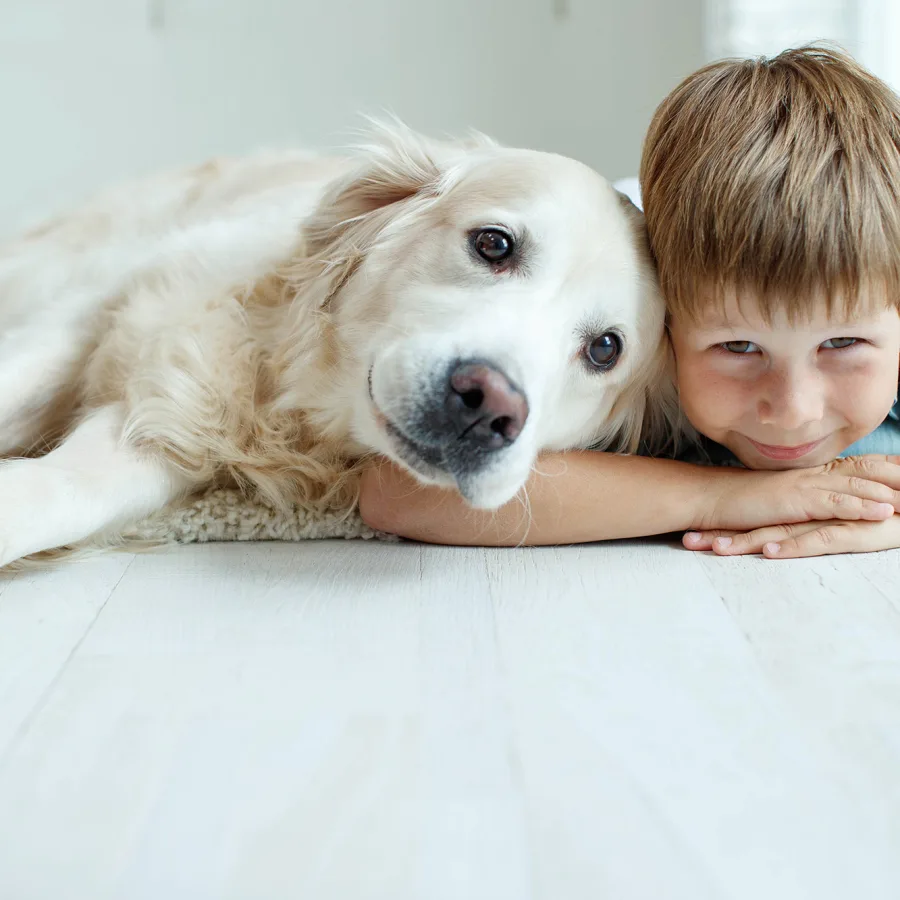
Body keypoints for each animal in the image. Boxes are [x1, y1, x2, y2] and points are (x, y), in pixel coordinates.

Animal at [0, 123, 676, 568]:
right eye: (493, 244)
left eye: (605, 349)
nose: (488, 406)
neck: (289, 392)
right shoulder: (98, 317)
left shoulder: (166, 434)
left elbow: (63, 492)